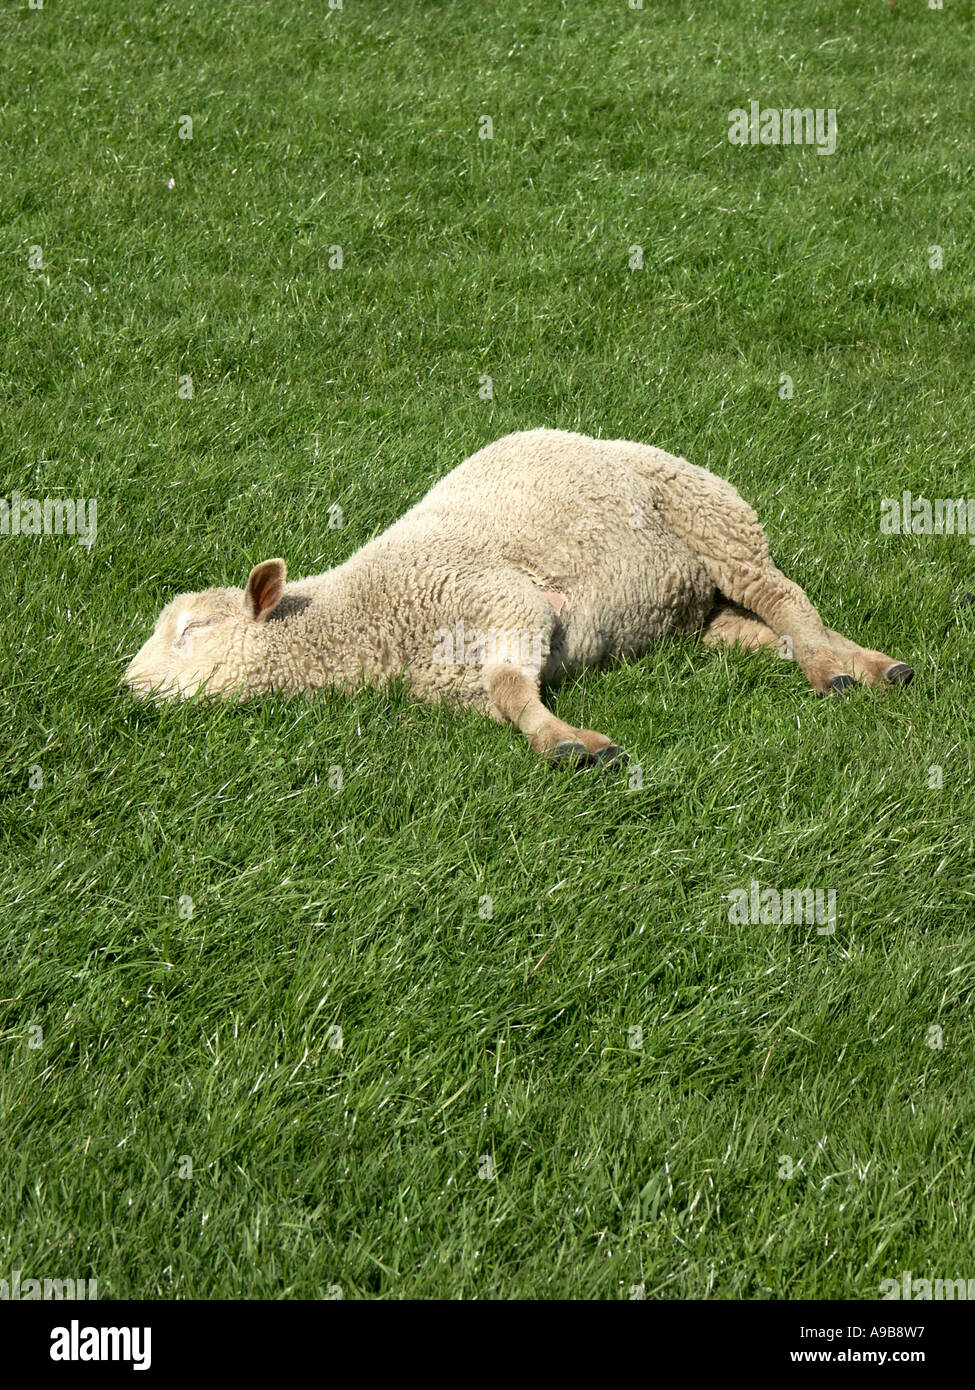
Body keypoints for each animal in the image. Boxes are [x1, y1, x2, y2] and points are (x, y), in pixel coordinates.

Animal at [123, 428, 913, 765]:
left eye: (192, 628)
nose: (127, 687)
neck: (368, 613)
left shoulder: (506, 603)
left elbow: (509, 685)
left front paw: (566, 743)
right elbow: (503, 698)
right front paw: (554, 734)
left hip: (718, 523)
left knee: (787, 599)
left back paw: (836, 670)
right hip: (689, 609)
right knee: (766, 628)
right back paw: (869, 663)